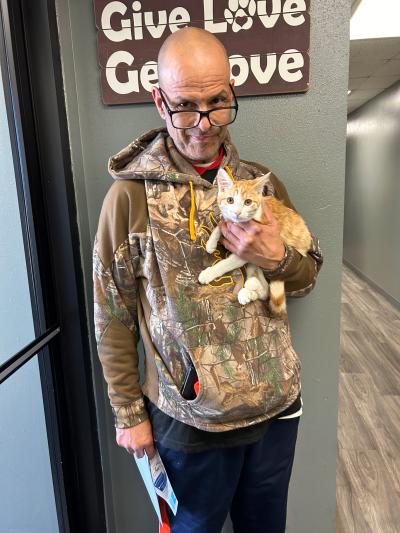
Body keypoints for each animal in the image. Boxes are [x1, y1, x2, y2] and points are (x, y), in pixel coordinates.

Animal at [198, 168, 312, 314]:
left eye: (247, 202)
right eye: (230, 200)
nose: (237, 212)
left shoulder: (246, 251)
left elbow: (226, 263)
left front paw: (209, 273)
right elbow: (222, 224)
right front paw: (211, 243)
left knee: (268, 291)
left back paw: (250, 287)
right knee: (264, 291)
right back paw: (248, 292)